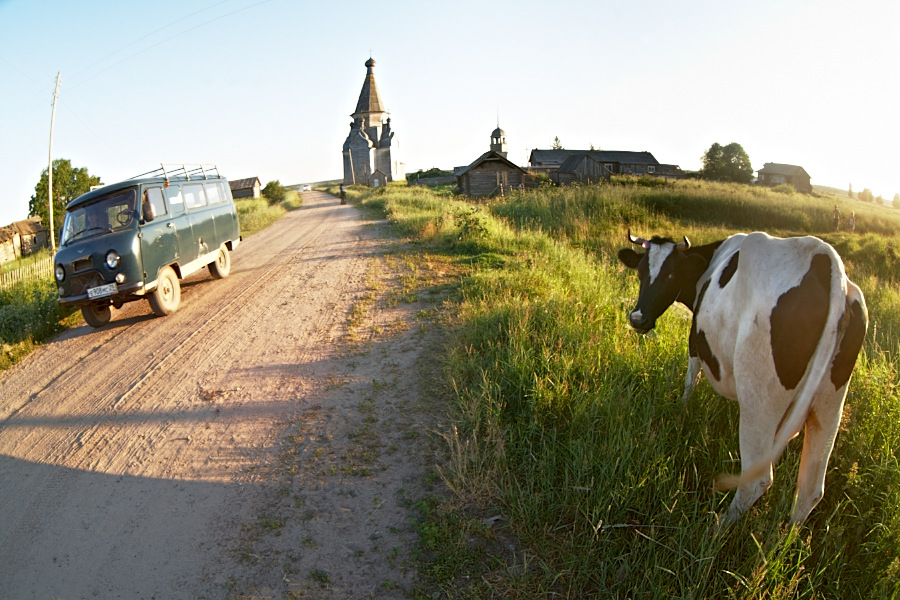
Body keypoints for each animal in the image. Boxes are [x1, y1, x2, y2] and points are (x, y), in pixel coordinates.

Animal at [620, 231, 864, 524]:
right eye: (641, 271)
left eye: (670, 275)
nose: (637, 318)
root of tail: (826, 262)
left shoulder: (695, 339)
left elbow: (691, 378)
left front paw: (682, 409)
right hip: (829, 407)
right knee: (810, 491)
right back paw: (783, 536)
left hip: (759, 404)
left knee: (755, 482)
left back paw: (718, 527)